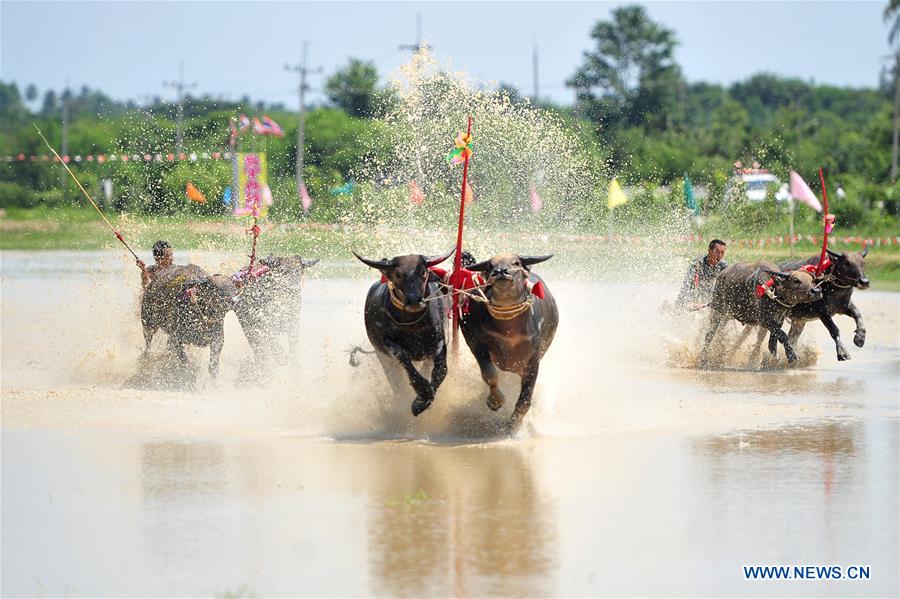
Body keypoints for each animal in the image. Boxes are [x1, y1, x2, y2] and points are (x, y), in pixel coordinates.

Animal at [356, 251, 454, 414]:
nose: (414, 301)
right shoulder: (386, 345)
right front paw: (422, 395)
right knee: (396, 382)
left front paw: (424, 398)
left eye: (423, 271)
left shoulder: (438, 340)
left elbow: (441, 370)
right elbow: (403, 358)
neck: (413, 326)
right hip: (383, 358)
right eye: (397, 274)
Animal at [464, 253, 556, 432]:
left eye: (516, 263)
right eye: (490, 265)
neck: (508, 331)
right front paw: (495, 401)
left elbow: (525, 401)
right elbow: (490, 374)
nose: (501, 271)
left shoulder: (533, 360)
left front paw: (513, 427)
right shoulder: (476, 344)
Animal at [700, 264, 828, 368]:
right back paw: (703, 359)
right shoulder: (764, 320)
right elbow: (783, 335)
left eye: (812, 280)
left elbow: (773, 340)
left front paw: (773, 358)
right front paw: (791, 355)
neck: (771, 291)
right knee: (709, 335)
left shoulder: (778, 320)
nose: (816, 291)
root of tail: (722, 274)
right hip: (718, 310)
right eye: (796, 280)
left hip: (728, 315)